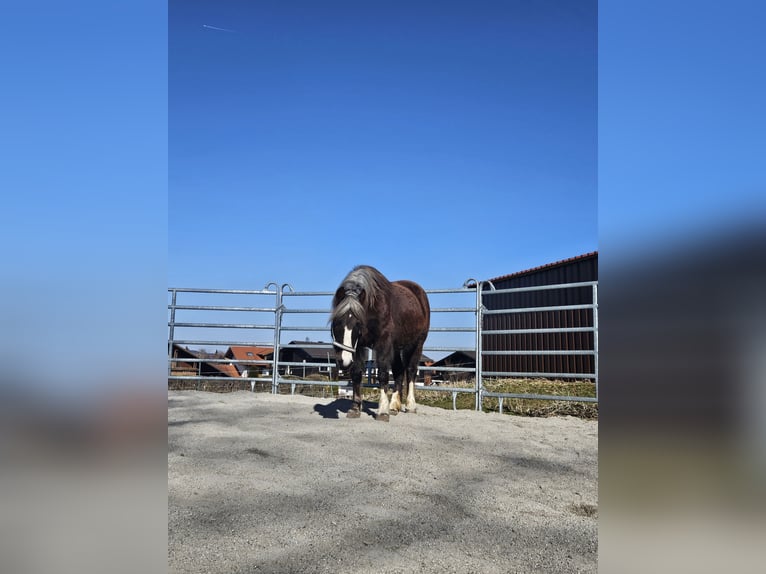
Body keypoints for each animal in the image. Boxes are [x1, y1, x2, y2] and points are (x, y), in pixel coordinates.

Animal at [330, 265, 430, 422]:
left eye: (357, 323)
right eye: (336, 322)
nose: (344, 362)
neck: (372, 308)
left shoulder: (383, 344)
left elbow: (383, 373)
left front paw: (382, 411)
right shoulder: (358, 346)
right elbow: (356, 373)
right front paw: (355, 408)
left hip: (416, 344)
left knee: (411, 370)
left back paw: (410, 405)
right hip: (396, 347)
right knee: (399, 371)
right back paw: (394, 406)